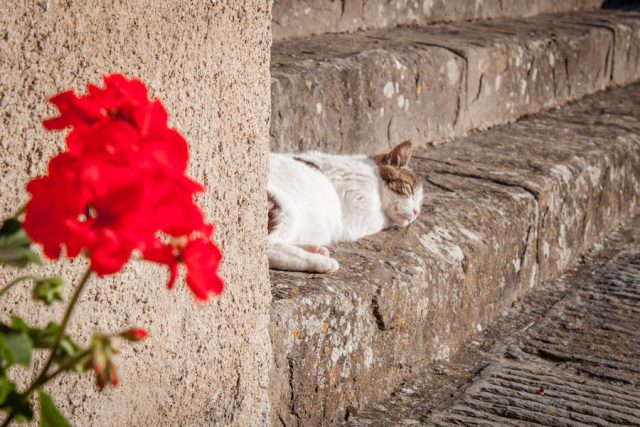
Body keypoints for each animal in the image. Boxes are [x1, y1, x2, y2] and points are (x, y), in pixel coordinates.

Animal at [266, 141, 422, 274]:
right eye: (410, 191)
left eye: (419, 202)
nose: (416, 212)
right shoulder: (361, 211)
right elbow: (381, 219)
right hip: (284, 208)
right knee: (268, 249)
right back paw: (320, 262)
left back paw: (313, 249)